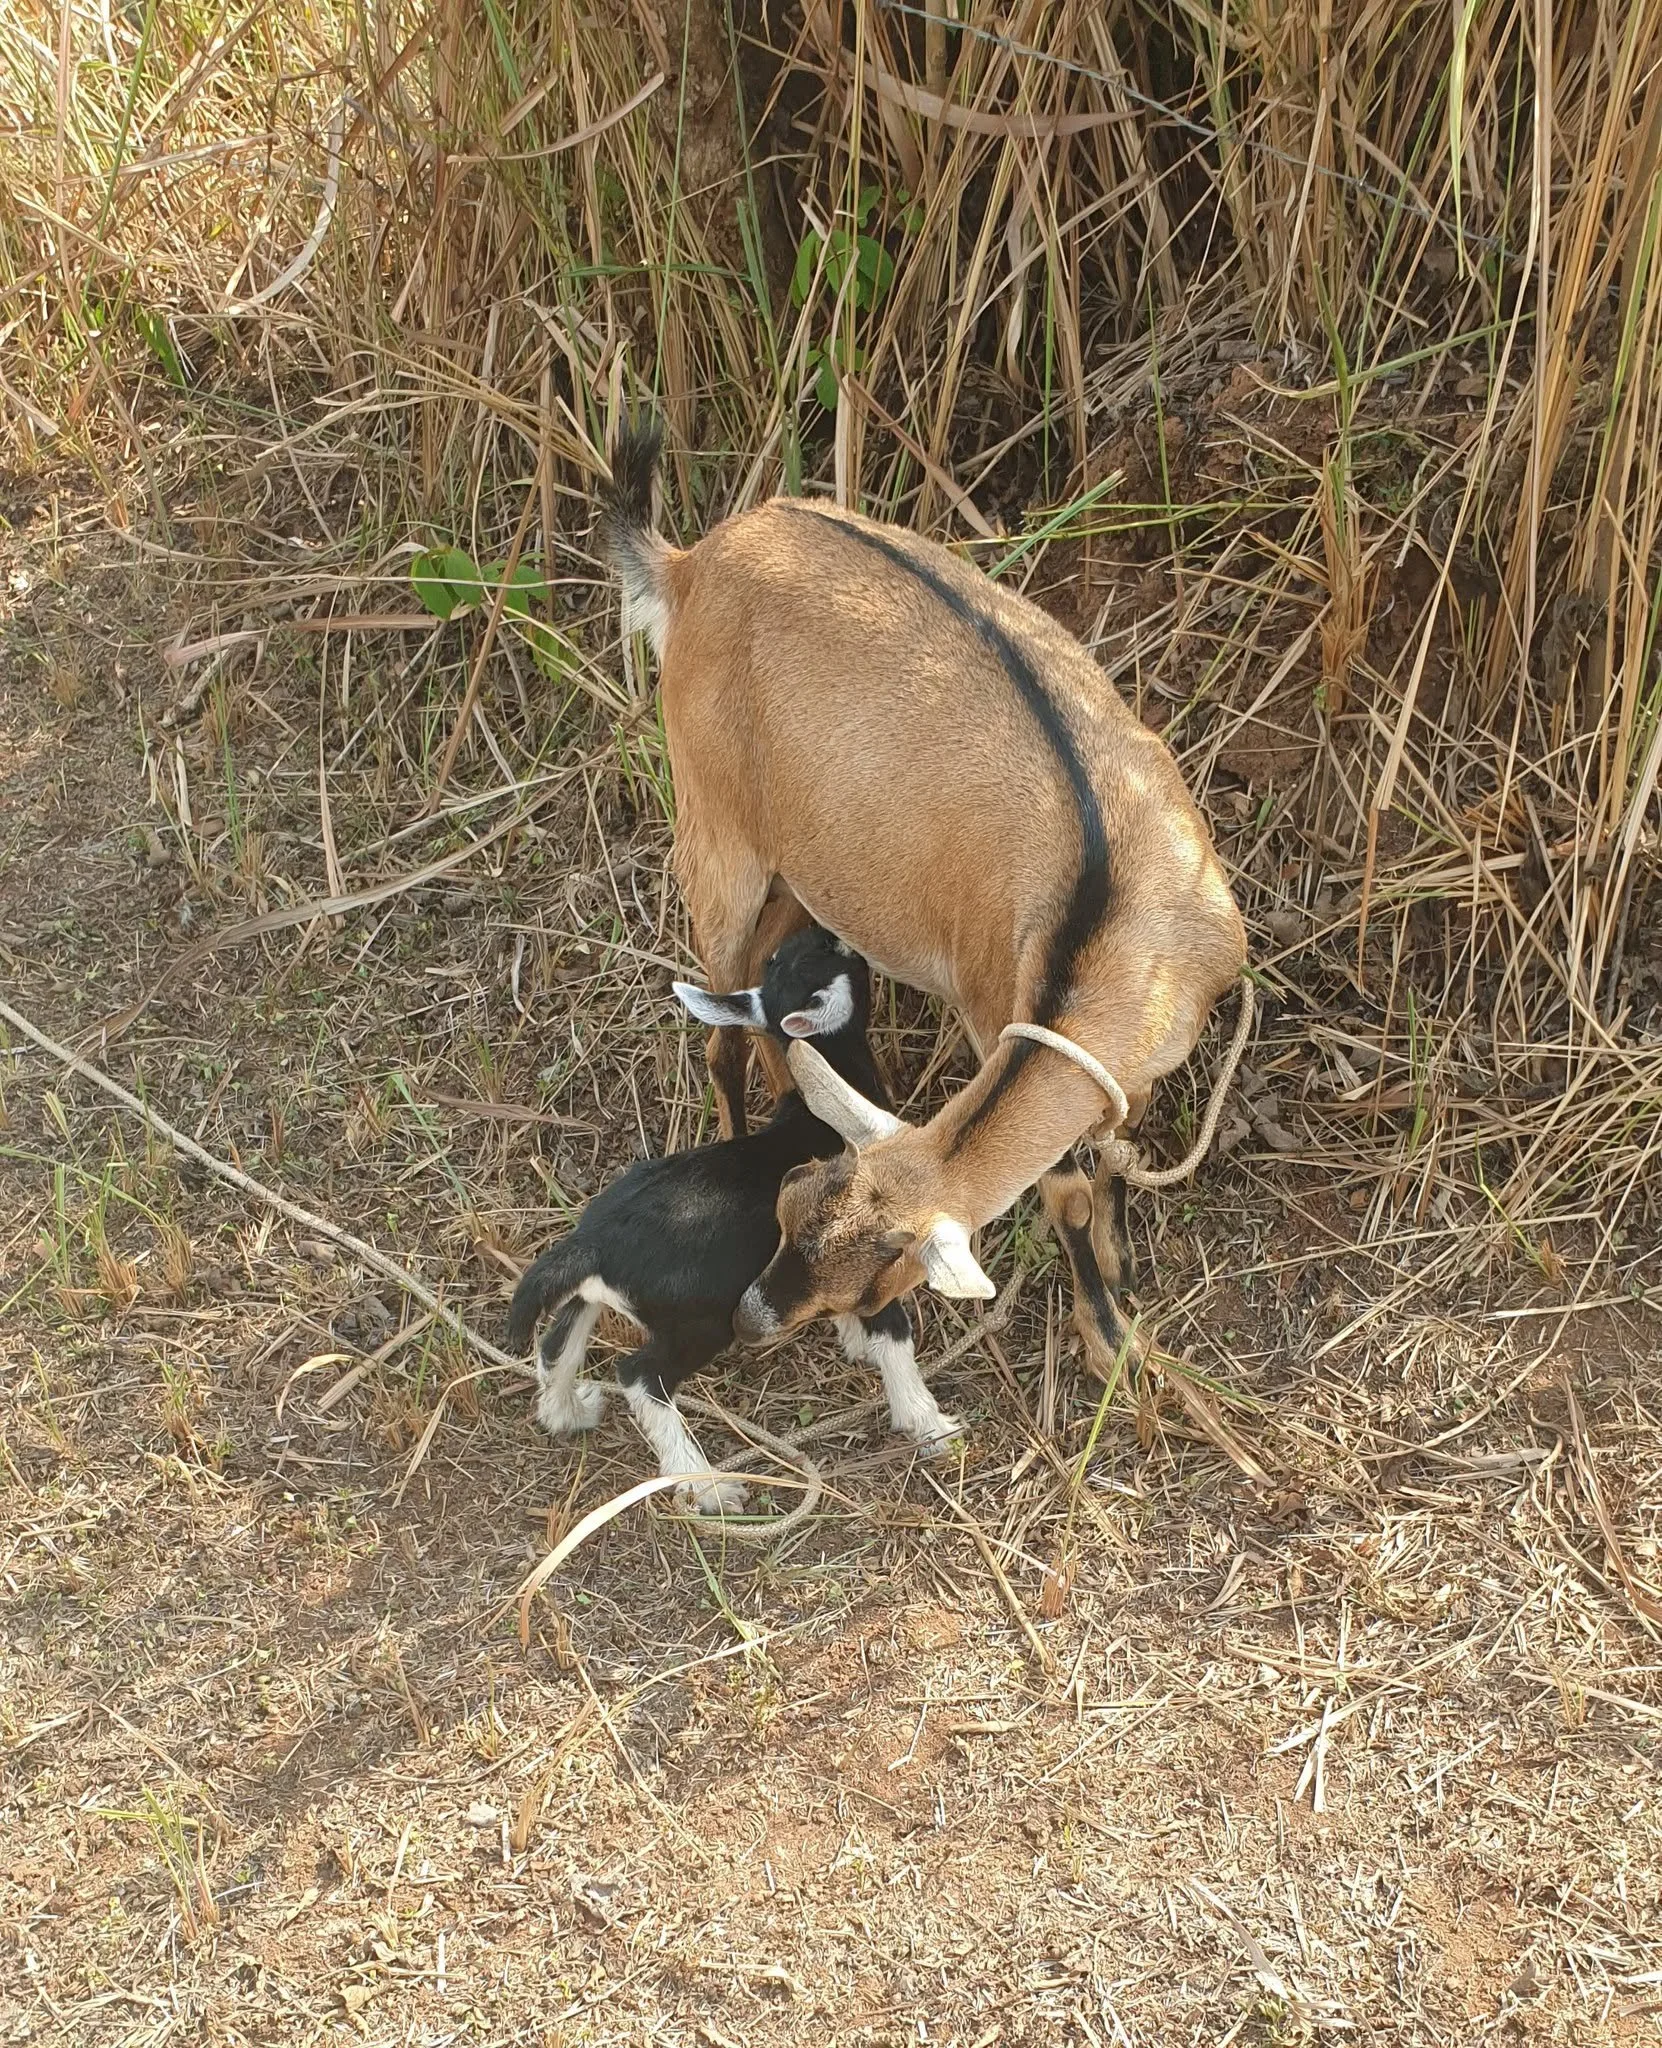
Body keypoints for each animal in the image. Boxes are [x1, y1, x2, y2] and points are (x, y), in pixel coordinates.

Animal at [506, 924, 960, 1513]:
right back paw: (706, 1486)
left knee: (559, 1338)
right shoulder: (861, 1250)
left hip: (597, 1292)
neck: (824, 1100)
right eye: (832, 953)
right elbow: (893, 1330)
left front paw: (853, 1341)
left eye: (787, 956)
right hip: (702, 1318)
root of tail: (594, 1243)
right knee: (640, 1376)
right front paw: (929, 1424)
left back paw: (567, 1412)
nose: (826, 930)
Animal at [597, 422, 1248, 1376]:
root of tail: (691, 563)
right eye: (788, 1213)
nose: (750, 1322)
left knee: (760, 999)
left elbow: (1105, 1156)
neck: (1111, 923)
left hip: (797, 868)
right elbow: (1064, 1191)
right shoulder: (992, 1007)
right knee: (719, 1024)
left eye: (868, 1285)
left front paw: (1120, 1278)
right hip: (715, 827)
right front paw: (1110, 1340)